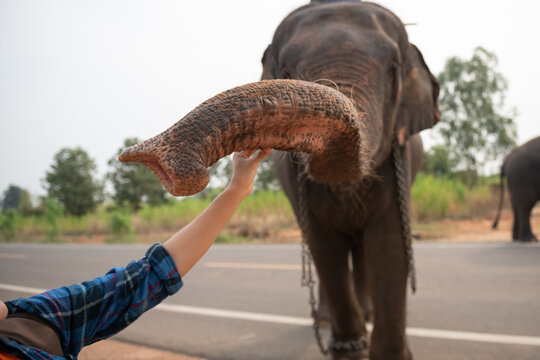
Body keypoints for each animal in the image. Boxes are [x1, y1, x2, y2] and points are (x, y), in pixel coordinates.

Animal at [118, 0, 438, 360]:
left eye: (394, 68)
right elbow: (323, 243)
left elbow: (390, 242)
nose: (164, 168)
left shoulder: (402, 160)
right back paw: (325, 320)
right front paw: (348, 347)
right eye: (285, 67)